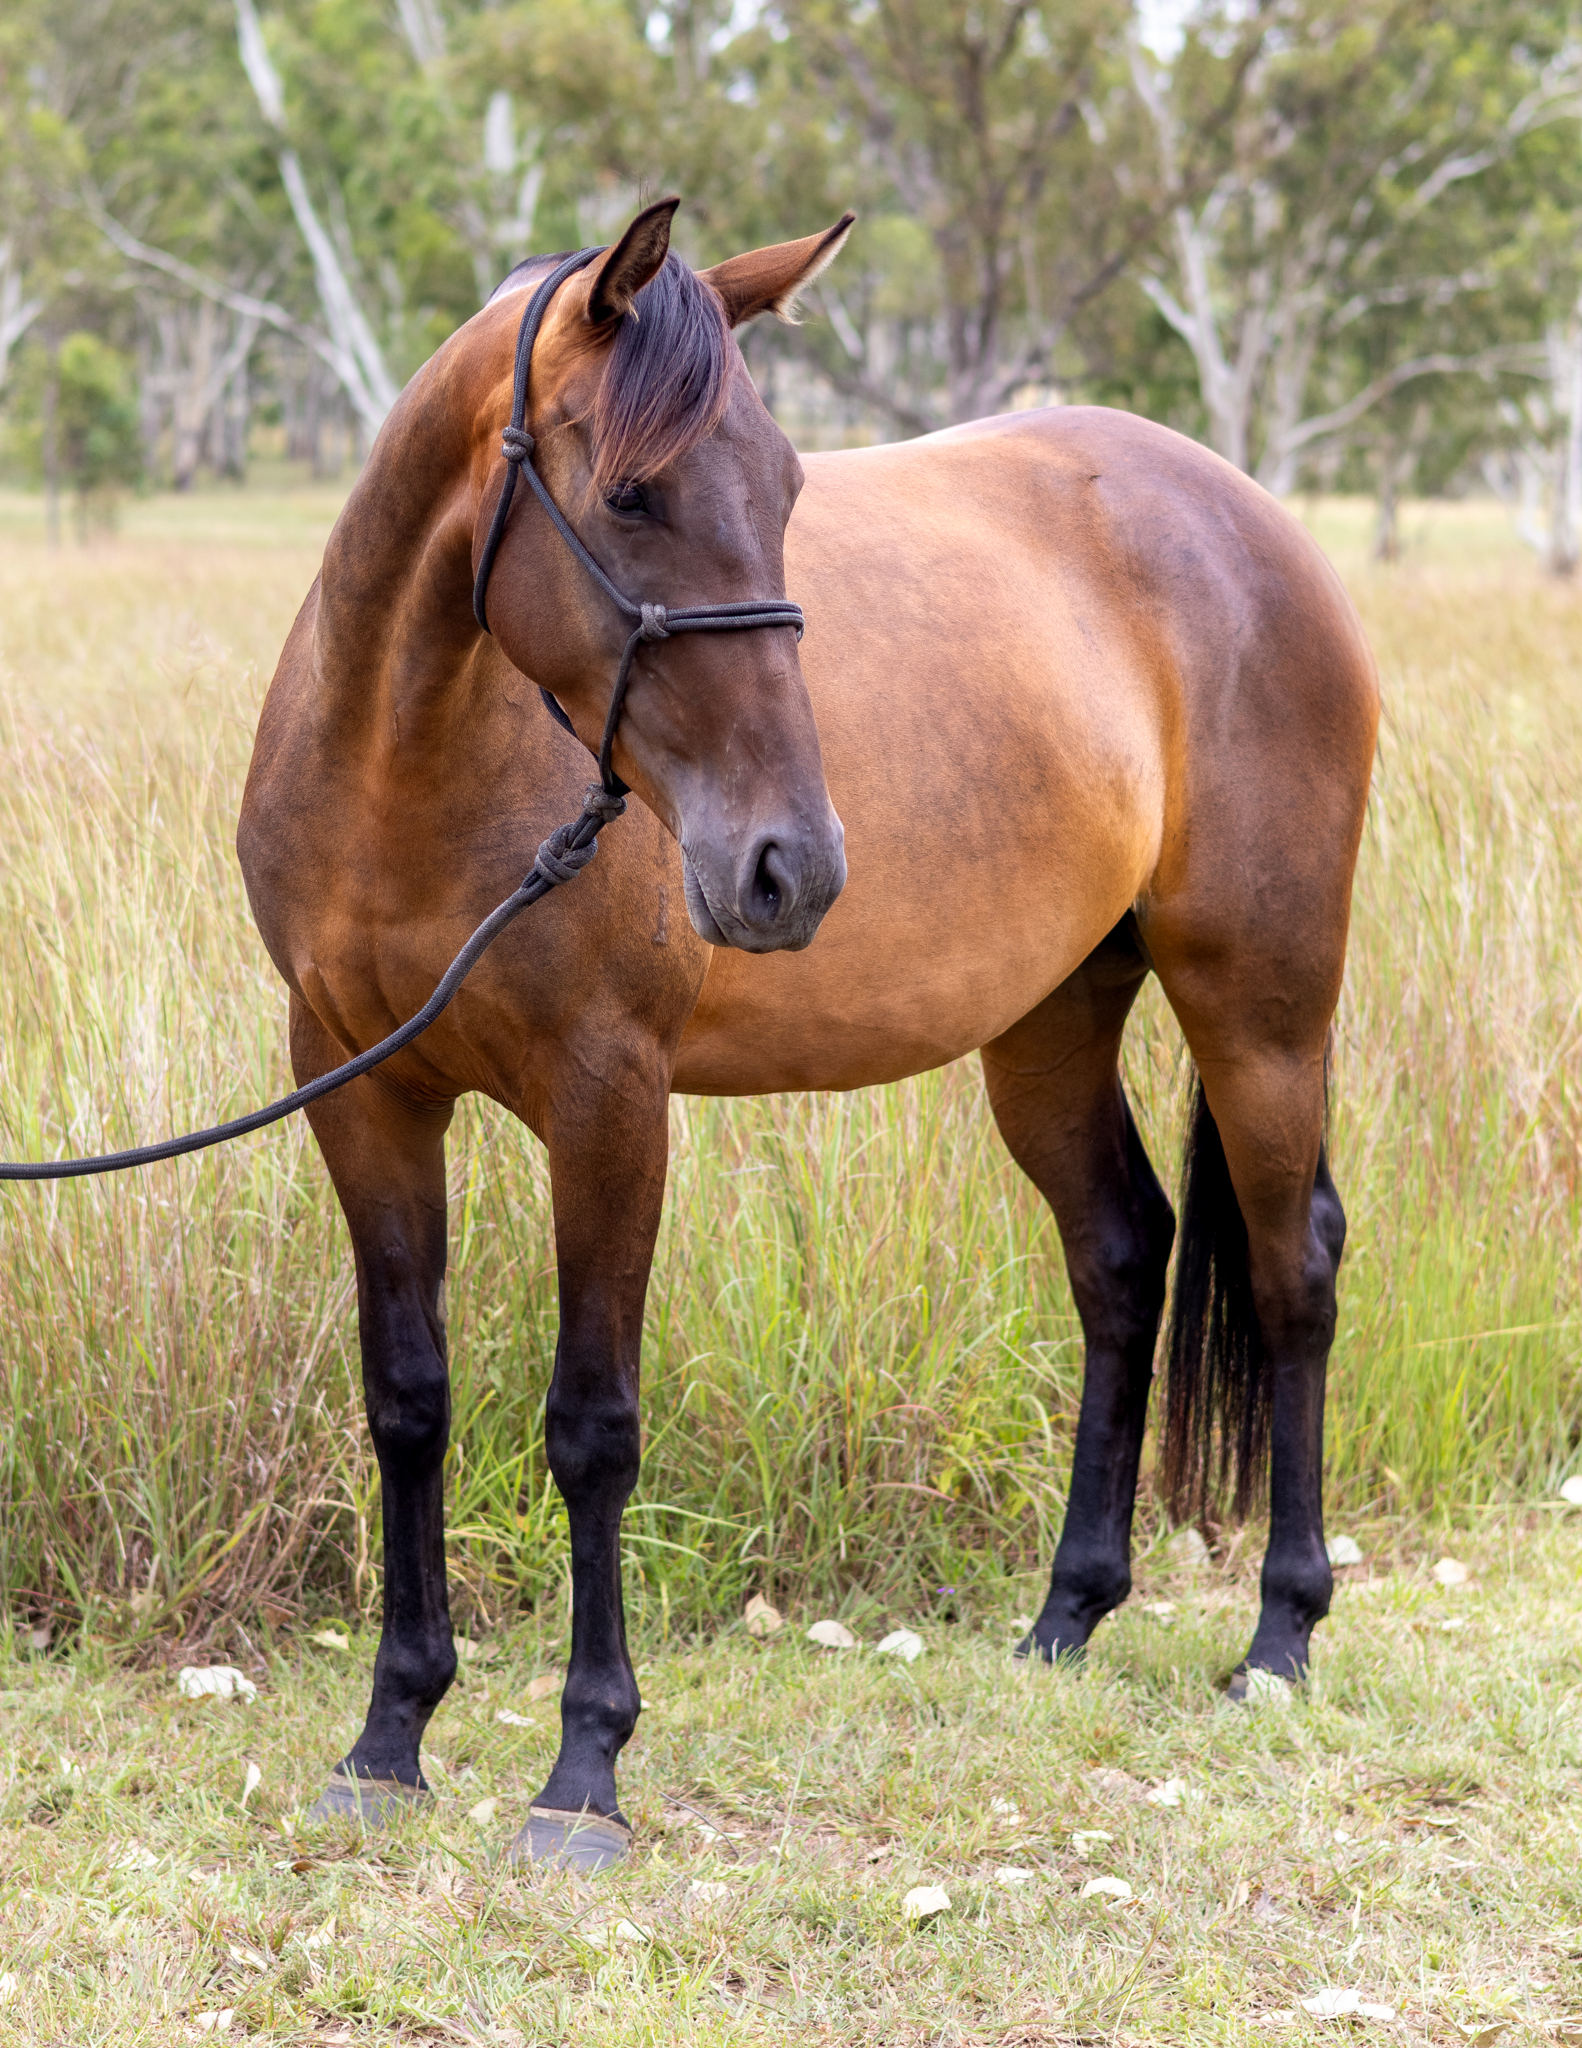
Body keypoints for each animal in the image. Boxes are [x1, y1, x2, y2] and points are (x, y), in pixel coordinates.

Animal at [238, 197, 1379, 1869]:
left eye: (783, 489)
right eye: (632, 494)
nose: (794, 865)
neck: (410, 759)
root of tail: (1257, 525)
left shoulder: (608, 1100)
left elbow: (592, 1424)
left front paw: (582, 1770)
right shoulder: (358, 1090)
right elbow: (407, 1403)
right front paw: (390, 1739)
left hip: (1259, 1005)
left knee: (1293, 1266)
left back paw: (1280, 1638)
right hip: (1048, 1023)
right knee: (1120, 1253)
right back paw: (1064, 1621)